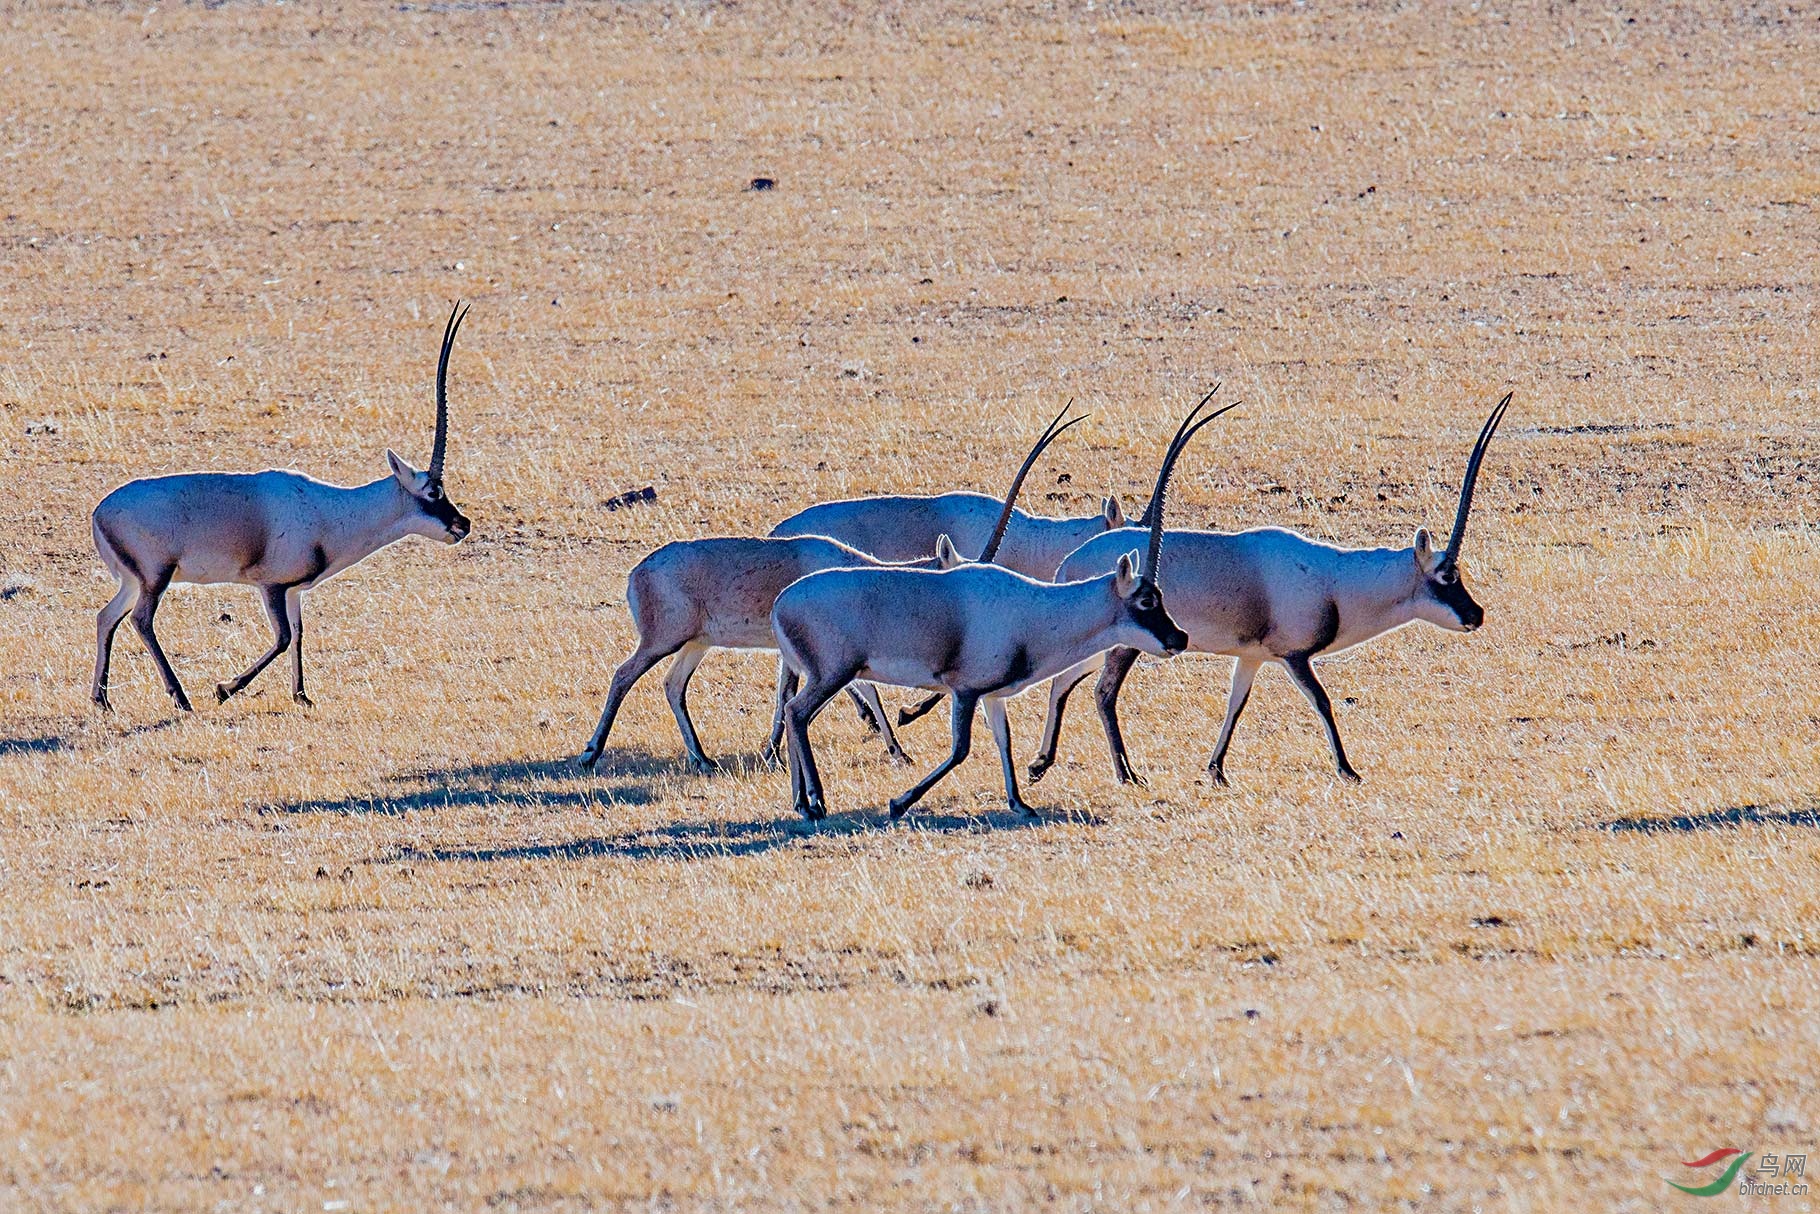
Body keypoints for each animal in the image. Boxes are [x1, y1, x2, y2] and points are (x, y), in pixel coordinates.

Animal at [90, 300, 476, 713]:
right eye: (433, 491)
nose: (463, 524)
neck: (330, 509)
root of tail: (99, 513)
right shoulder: (272, 586)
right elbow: (283, 638)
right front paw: (225, 688)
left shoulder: (294, 592)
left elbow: (300, 633)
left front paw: (302, 695)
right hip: (155, 578)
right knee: (141, 621)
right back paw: (180, 697)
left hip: (135, 581)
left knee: (107, 616)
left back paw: (102, 699)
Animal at [575, 404, 1077, 775]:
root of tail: (638, 572)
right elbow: (859, 691)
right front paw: (896, 749)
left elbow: (807, 691)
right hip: (663, 639)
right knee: (624, 675)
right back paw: (591, 753)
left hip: (696, 643)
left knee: (672, 685)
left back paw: (702, 758)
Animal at [768, 398, 1237, 826]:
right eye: (1145, 601)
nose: (1180, 638)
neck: (1034, 606)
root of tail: (781, 601)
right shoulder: (965, 690)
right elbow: (960, 750)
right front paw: (899, 802)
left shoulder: (992, 696)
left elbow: (1004, 741)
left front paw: (1020, 802)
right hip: (834, 673)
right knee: (797, 712)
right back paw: (814, 803)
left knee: (793, 709)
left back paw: (802, 800)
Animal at [1033, 391, 1514, 789]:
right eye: (1447, 576)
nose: (1477, 615)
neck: (1335, 579)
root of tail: (1070, 563)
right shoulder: (1294, 656)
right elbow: (1322, 702)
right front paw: (1348, 770)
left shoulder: (1253, 657)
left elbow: (1236, 704)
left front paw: (1217, 770)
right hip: (1124, 645)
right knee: (1102, 693)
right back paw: (1126, 774)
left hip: (1098, 643)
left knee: (1064, 681)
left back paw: (1042, 763)